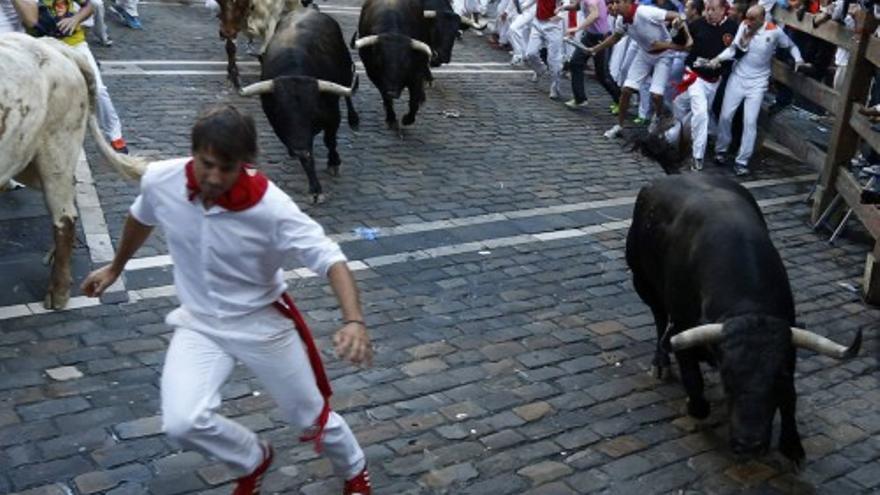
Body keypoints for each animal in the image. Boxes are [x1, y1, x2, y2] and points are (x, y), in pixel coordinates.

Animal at [241, 7, 358, 203]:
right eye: (280, 113)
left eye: (313, 112)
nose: (298, 150)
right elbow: (307, 156)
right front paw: (315, 189)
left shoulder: (333, 115)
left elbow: (330, 140)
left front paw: (334, 162)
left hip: (346, 71)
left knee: (348, 94)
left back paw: (354, 120)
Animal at [624, 176, 860, 466]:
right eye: (727, 376)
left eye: (778, 377)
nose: (749, 445)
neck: (747, 303)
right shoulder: (682, 329)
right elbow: (694, 383)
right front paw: (693, 405)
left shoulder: (788, 350)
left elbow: (790, 397)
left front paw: (792, 445)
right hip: (642, 281)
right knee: (659, 318)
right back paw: (660, 363)